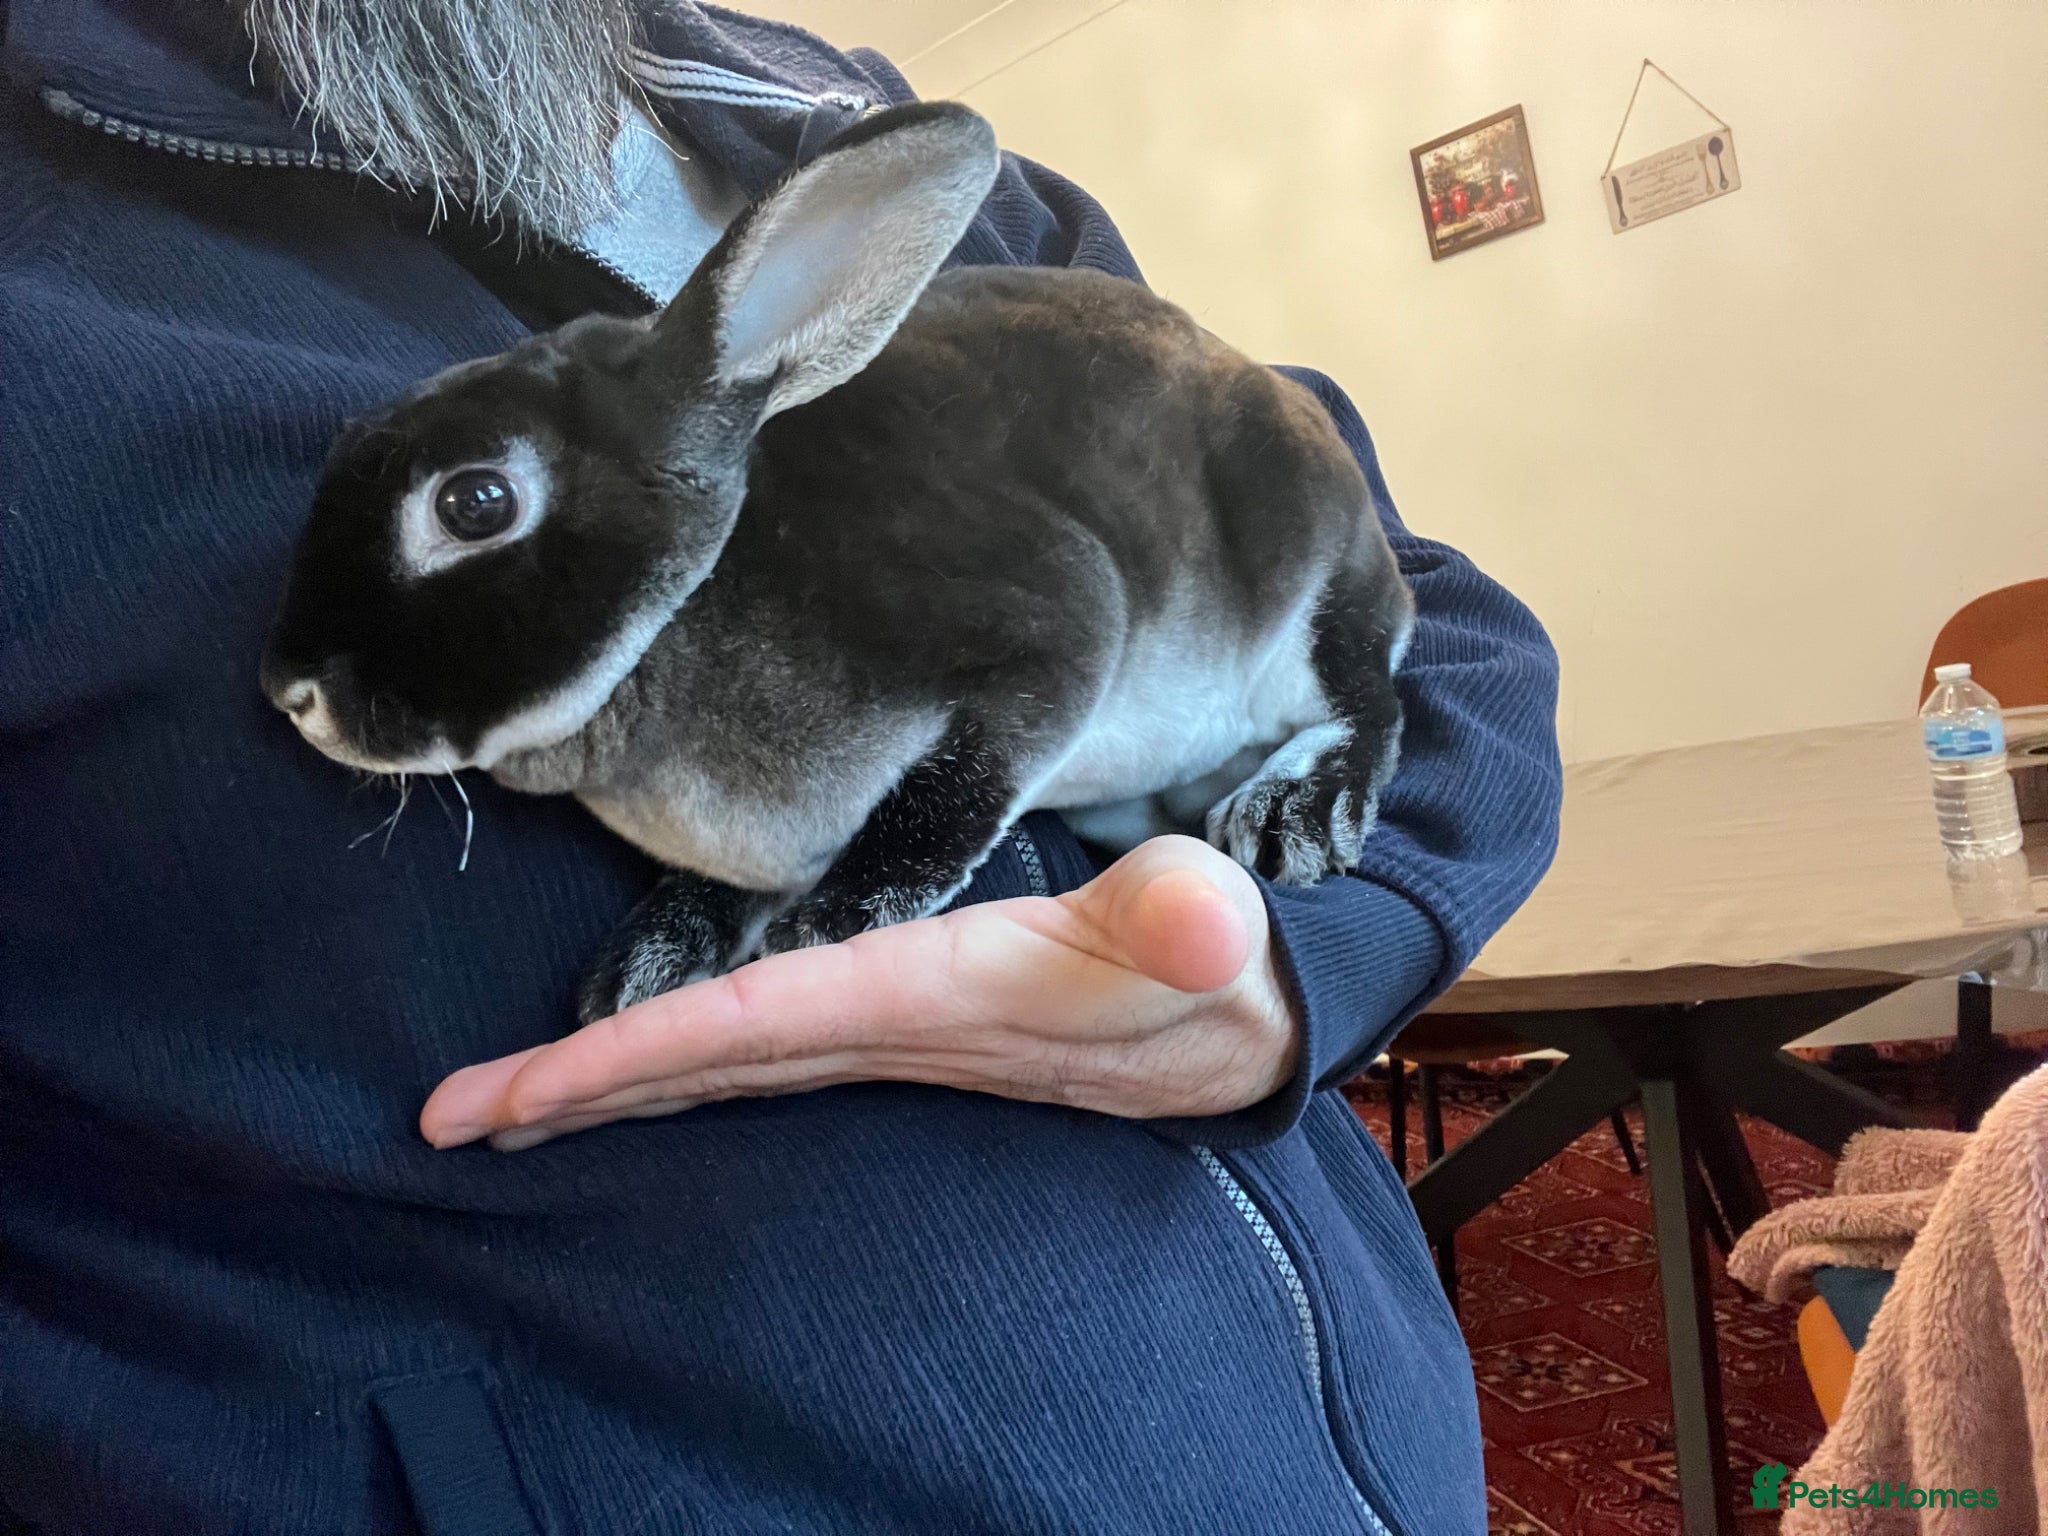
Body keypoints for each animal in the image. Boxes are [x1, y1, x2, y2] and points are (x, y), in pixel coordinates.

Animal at [260, 101, 1414, 1025]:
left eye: (474, 503)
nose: (289, 691)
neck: (683, 617)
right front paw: (651, 966)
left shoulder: (1048, 637)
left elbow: (945, 804)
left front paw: (825, 927)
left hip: (1312, 589)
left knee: (1368, 698)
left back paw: (1296, 813)